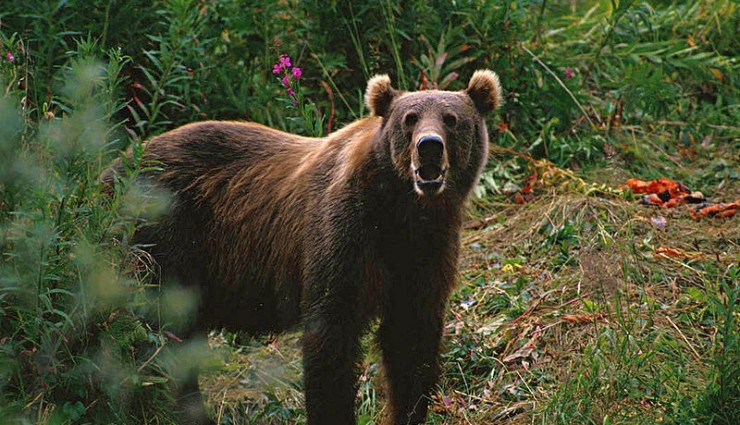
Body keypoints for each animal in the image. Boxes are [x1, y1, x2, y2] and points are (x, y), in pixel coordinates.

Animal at [104, 68, 502, 422]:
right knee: (156, 335)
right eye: (410, 118)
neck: (400, 210)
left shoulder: (426, 250)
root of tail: (113, 167)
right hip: (162, 238)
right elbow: (330, 338)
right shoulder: (344, 235)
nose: (429, 147)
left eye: (451, 119)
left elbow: (411, 339)